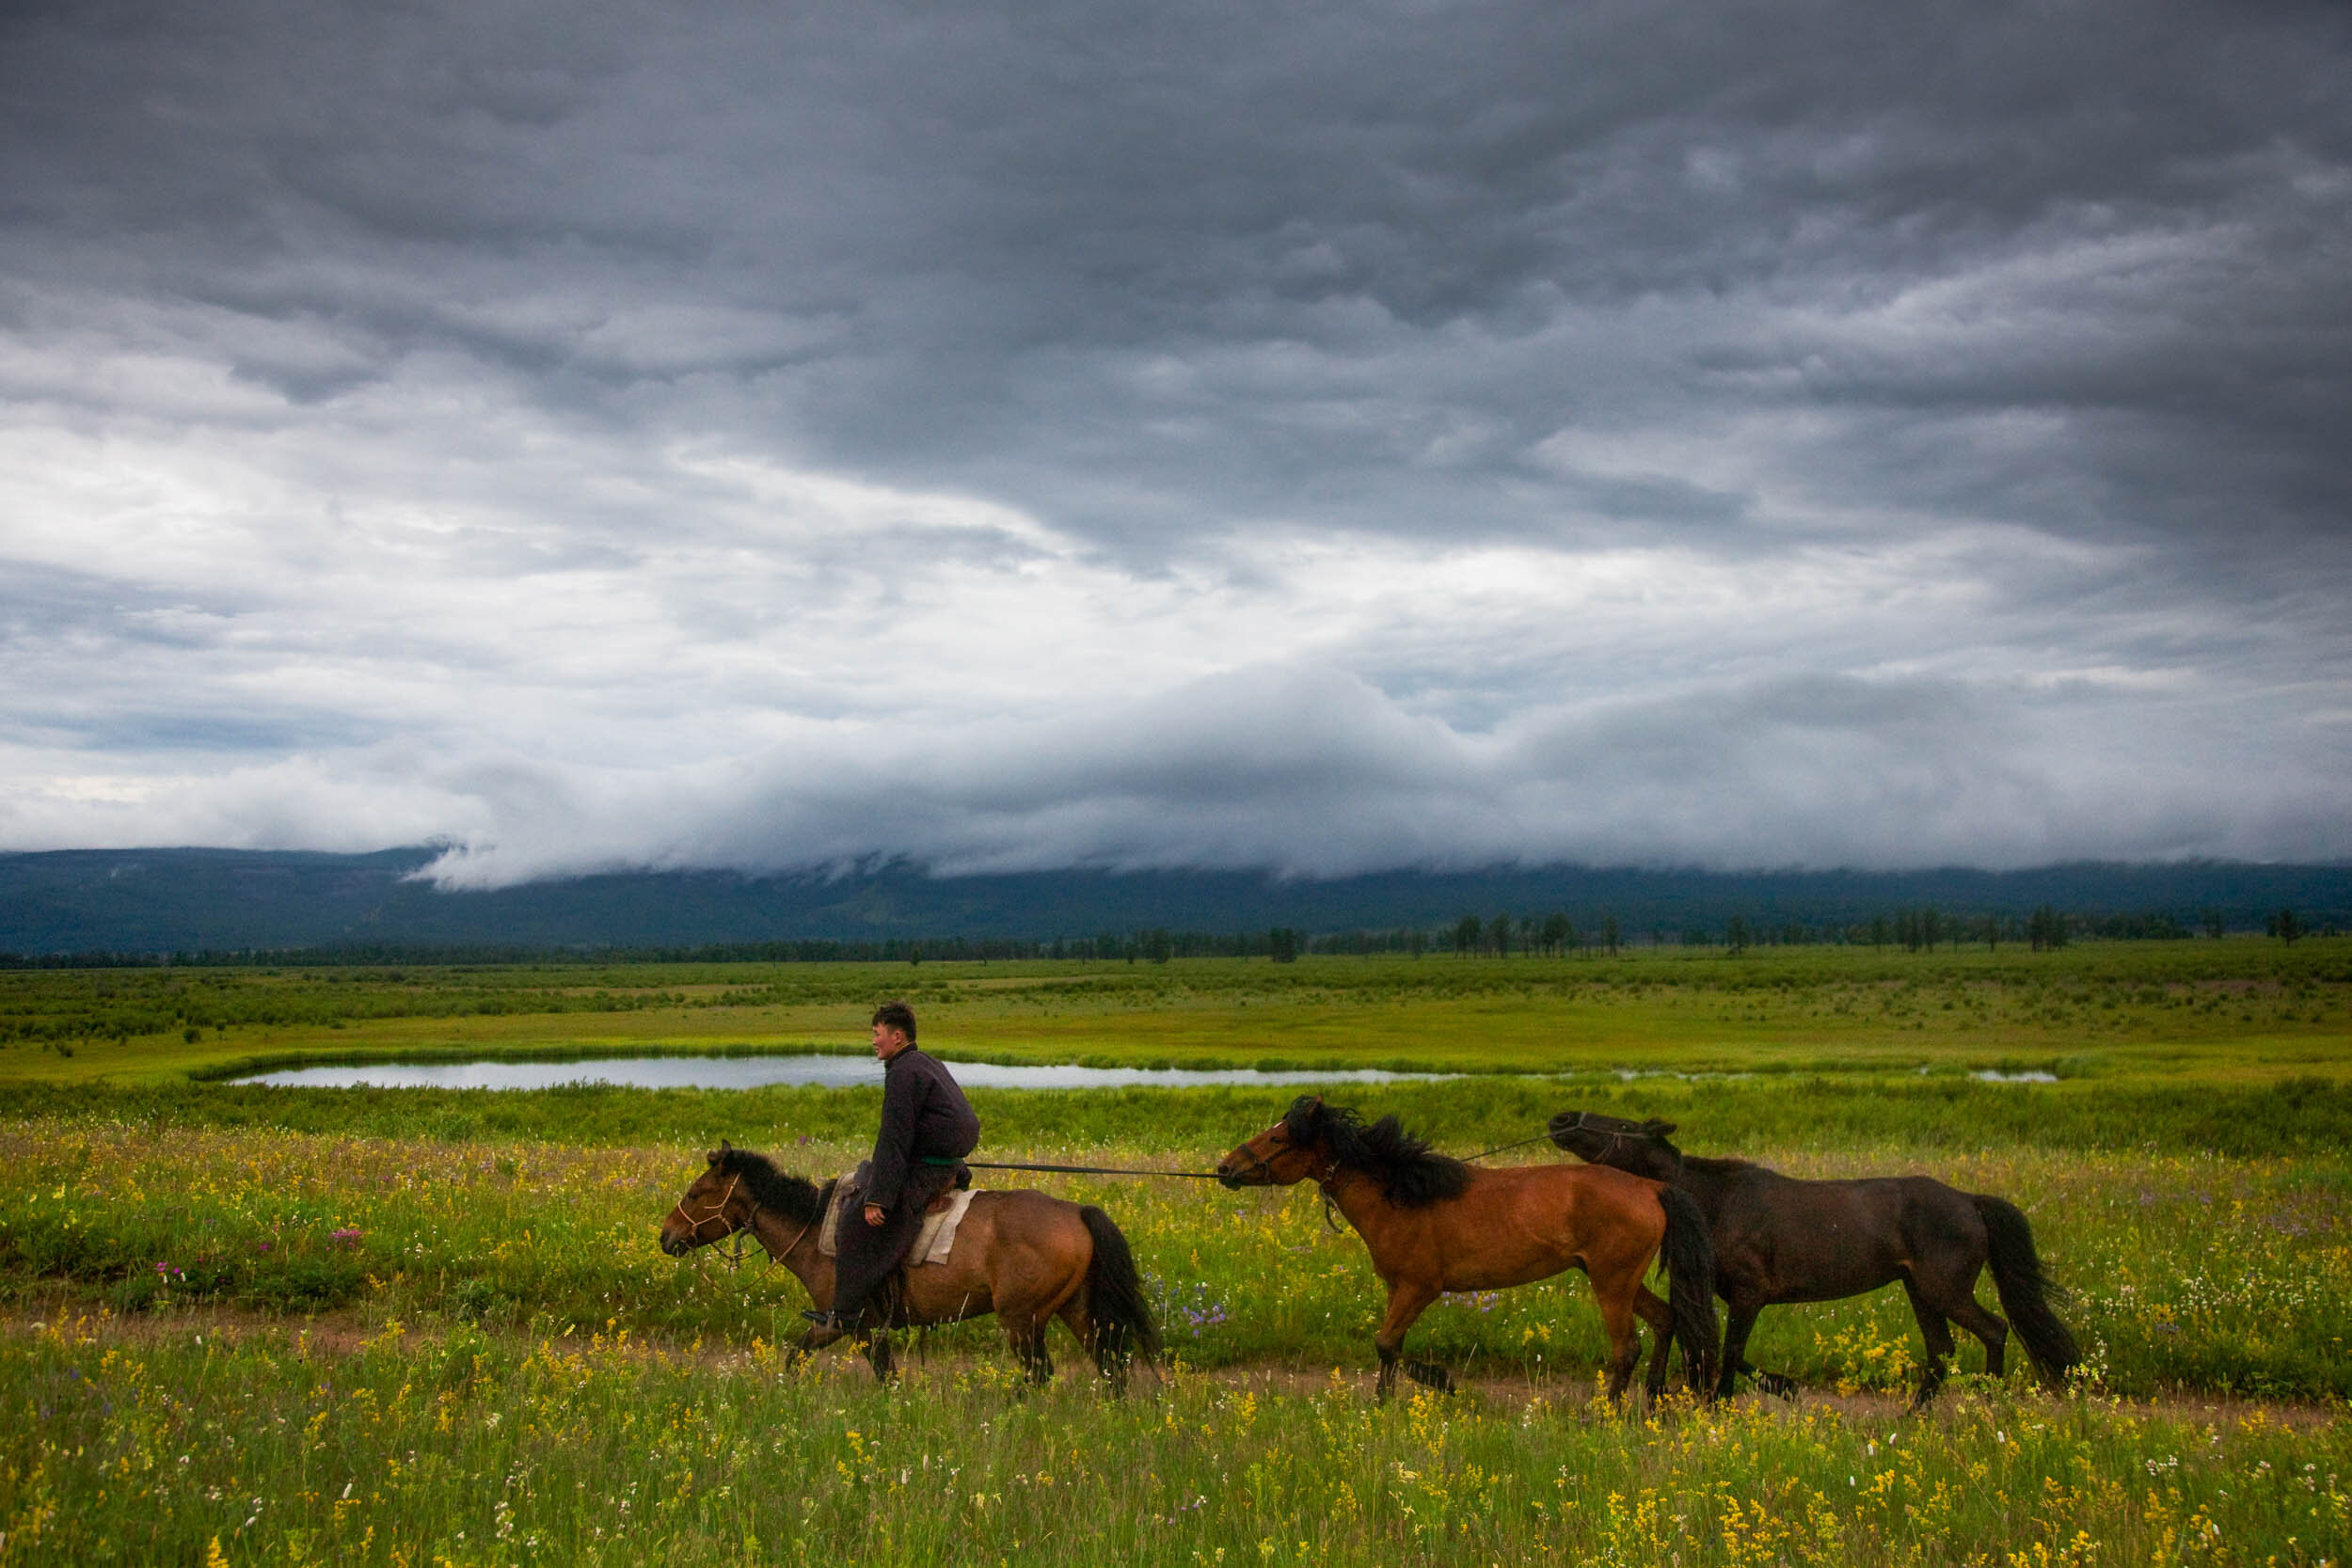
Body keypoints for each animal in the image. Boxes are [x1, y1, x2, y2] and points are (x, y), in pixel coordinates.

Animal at [659, 1147, 1162, 1391]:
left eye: (696, 1193)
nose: (666, 1236)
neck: (817, 1229)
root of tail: (1077, 1211)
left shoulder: (852, 1323)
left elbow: (880, 1375)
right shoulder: (843, 1326)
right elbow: (798, 1358)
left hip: (1024, 1319)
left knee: (1041, 1374)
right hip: (1075, 1311)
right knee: (1111, 1367)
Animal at [1223, 1100, 1722, 1401]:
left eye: (1277, 1138)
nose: (1225, 1167)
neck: (1401, 1195)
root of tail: (1652, 1188)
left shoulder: (1420, 1288)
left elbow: (1386, 1344)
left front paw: (1438, 1381)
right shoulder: (1398, 1290)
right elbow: (1390, 1347)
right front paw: (1384, 1404)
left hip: (1612, 1283)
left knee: (1627, 1348)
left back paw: (1603, 1415)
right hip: (1619, 1280)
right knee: (1666, 1320)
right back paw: (1652, 1400)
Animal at [1562, 1109, 2079, 1419]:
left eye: (1623, 1126)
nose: (1563, 1119)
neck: (1720, 1201)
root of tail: (1971, 1202)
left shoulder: (1751, 1294)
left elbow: (1730, 1353)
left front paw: (1747, 1398)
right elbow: (1729, 1353)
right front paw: (1778, 1388)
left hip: (1945, 1290)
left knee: (1994, 1330)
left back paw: (1987, 1400)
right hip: (1920, 1291)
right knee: (1942, 1352)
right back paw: (1914, 1415)